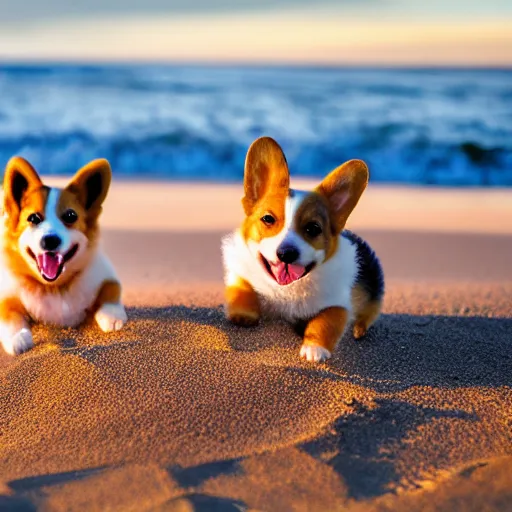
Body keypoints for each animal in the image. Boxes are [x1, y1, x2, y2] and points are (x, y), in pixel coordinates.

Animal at [0, 157, 127, 356]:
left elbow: (112, 288)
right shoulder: (7, 290)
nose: (50, 240)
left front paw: (112, 316)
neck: (55, 287)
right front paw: (17, 337)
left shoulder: (103, 273)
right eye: (33, 218)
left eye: (70, 216)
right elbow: (7, 311)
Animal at [222, 134, 382, 362]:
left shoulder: (339, 303)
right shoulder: (240, 270)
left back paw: (359, 329)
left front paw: (315, 348)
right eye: (268, 219)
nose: (286, 254)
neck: (286, 289)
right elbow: (241, 286)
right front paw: (244, 314)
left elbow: (326, 321)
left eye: (313, 228)